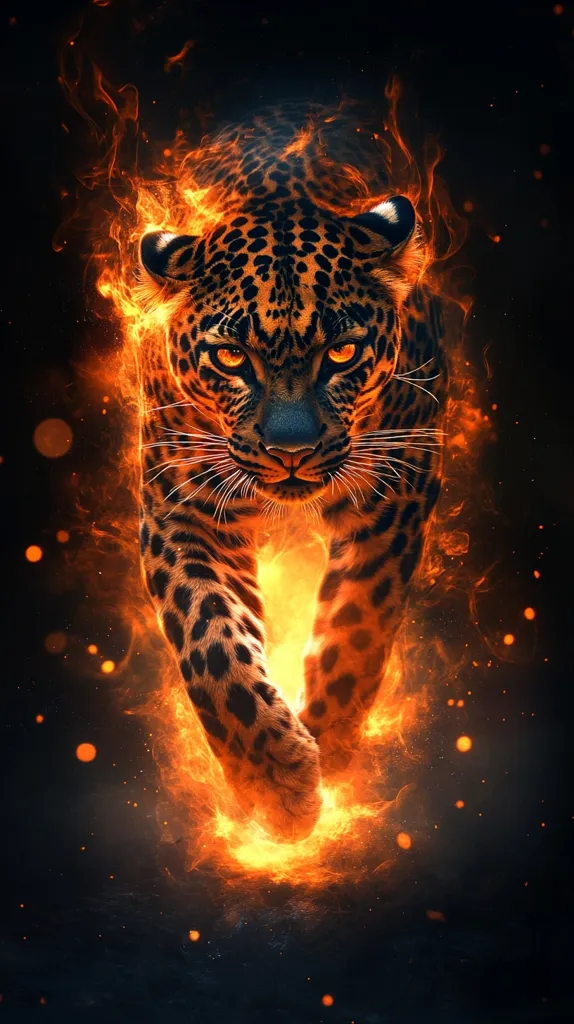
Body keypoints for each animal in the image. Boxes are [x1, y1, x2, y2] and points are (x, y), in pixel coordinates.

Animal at [136, 110, 446, 841]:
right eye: (230, 358)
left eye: (341, 353)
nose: (290, 449)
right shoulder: (182, 507)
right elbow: (210, 640)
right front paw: (275, 782)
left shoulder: (397, 485)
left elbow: (357, 626)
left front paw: (327, 745)